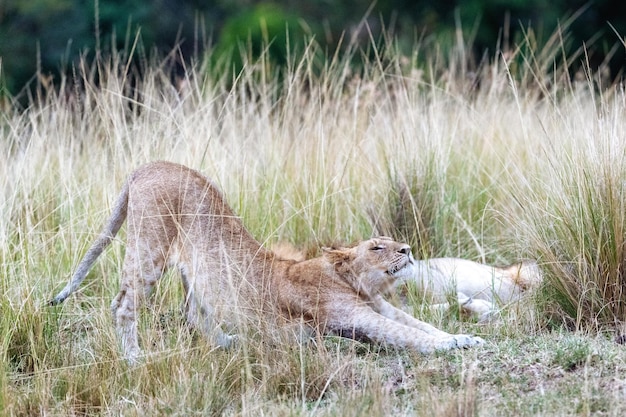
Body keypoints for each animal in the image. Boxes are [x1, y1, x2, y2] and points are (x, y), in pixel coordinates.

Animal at [51, 160, 482, 360]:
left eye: (393, 241)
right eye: (377, 247)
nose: (407, 250)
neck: (353, 284)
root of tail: (147, 166)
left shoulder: (381, 307)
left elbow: (422, 325)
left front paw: (467, 336)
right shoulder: (354, 317)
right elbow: (410, 336)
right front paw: (455, 344)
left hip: (196, 269)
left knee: (194, 312)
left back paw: (231, 343)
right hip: (150, 246)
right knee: (124, 304)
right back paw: (134, 358)